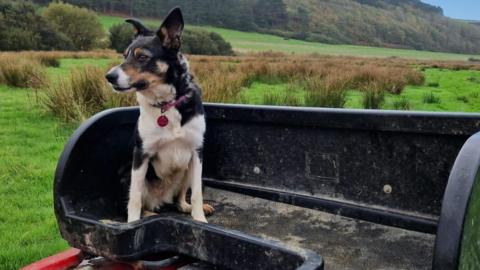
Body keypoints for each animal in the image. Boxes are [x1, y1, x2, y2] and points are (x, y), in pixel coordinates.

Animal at [107, 7, 214, 224]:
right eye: (124, 56)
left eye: (142, 57)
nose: (109, 77)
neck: (166, 105)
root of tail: (161, 201)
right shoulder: (141, 155)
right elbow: (134, 198)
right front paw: (132, 224)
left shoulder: (196, 153)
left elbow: (197, 193)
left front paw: (199, 218)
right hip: (127, 173)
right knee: (137, 202)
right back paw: (147, 215)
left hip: (185, 171)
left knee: (180, 199)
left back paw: (185, 207)